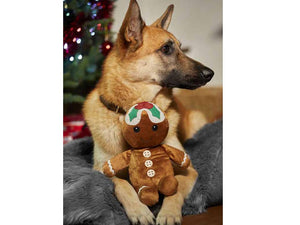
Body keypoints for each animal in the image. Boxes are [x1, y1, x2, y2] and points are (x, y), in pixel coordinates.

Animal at [82, 0, 213, 224]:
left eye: (180, 47)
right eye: (166, 48)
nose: (210, 73)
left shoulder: (188, 171)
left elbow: (175, 191)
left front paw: (168, 213)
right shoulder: (102, 170)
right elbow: (122, 185)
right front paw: (139, 210)